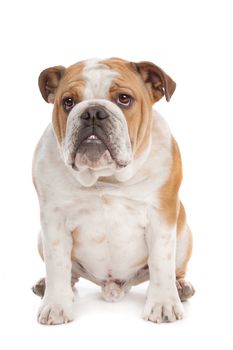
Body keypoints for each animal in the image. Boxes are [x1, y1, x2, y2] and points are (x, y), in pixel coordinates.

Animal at [31, 58, 194, 326]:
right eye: (68, 102)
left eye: (124, 99)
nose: (92, 112)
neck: (105, 178)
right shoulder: (53, 220)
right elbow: (57, 265)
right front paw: (55, 305)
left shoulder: (161, 216)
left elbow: (161, 263)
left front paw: (163, 304)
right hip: (40, 239)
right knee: (69, 274)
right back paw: (46, 286)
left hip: (183, 235)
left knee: (174, 269)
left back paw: (180, 288)